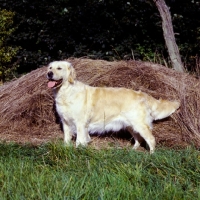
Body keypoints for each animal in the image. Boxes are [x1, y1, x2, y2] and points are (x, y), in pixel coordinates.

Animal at [46, 60, 180, 153]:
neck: (66, 92)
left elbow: (80, 140)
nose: (49, 73)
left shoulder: (80, 123)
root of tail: (142, 94)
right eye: (50, 67)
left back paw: (151, 155)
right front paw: (66, 148)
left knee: (151, 139)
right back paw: (132, 151)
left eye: (59, 68)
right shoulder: (65, 122)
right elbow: (66, 138)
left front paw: (78, 151)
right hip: (131, 125)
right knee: (138, 138)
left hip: (139, 124)